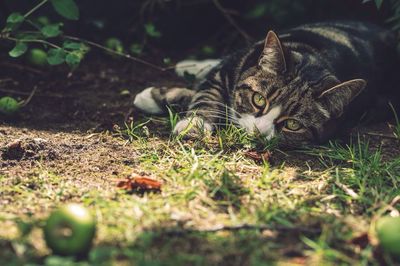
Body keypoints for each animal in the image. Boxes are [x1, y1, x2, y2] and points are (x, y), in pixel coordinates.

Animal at [133, 21, 398, 148]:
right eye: (258, 99)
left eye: (293, 124)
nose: (258, 131)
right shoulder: (228, 70)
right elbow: (207, 94)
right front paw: (195, 123)